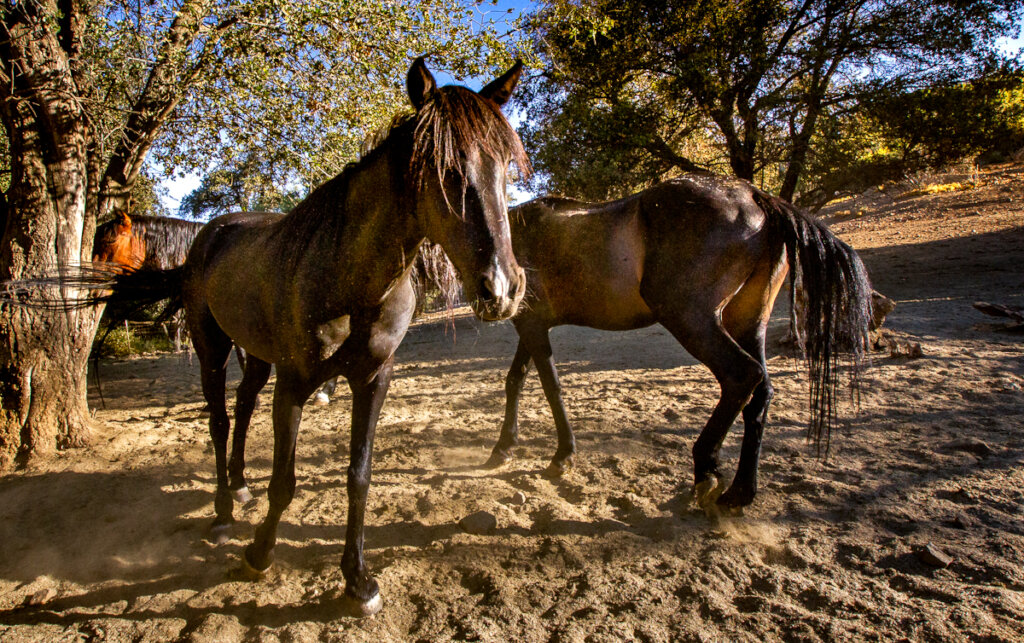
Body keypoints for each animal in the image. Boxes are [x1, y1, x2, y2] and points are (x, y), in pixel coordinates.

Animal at [25, 58, 529, 617]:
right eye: (442, 168)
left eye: (507, 168)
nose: (502, 288)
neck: (348, 278)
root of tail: (209, 235)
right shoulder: (293, 385)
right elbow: (284, 482)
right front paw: (260, 554)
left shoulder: (373, 380)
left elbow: (358, 476)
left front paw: (358, 580)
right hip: (212, 347)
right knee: (221, 420)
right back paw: (224, 512)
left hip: (255, 357)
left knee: (243, 408)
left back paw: (240, 487)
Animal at [484, 175, 872, 514]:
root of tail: (752, 194)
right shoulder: (530, 326)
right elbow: (515, 381)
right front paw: (503, 448)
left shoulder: (533, 325)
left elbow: (551, 388)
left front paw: (562, 455)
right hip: (747, 321)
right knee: (760, 392)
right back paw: (740, 492)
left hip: (689, 317)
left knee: (742, 376)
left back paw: (706, 469)